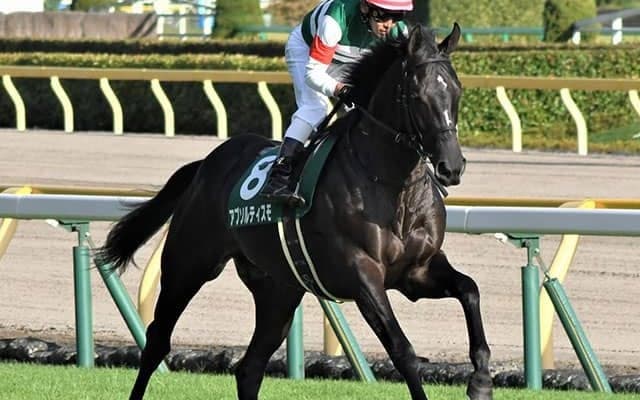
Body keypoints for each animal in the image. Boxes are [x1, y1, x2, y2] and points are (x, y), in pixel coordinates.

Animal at [98, 23, 493, 400]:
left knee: (249, 368)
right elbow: (403, 350)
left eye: (457, 91)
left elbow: (470, 290)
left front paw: (481, 382)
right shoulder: (362, 275)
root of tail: (206, 164)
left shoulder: (417, 271)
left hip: (279, 290)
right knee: (157, 344)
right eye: (416, 95)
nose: (451, 166)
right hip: (188, 266)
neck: (393, 187)